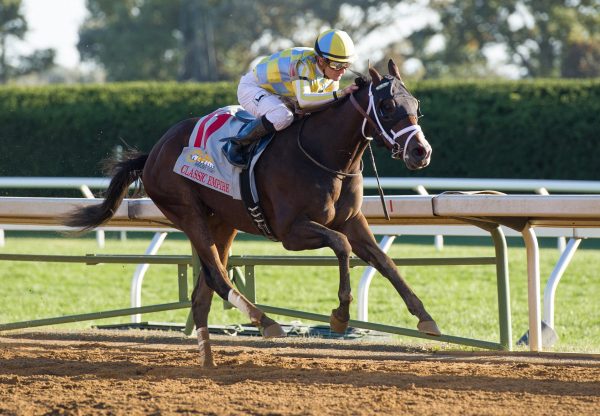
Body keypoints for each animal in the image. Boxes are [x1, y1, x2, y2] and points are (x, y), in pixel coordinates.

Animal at [67, 59, 440, 368]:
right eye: (388, 106)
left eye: (416, 105)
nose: (421, 152)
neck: (323, 156)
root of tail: (153, 153)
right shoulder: (291, 232)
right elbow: (341, 246)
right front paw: (339, 316)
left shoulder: (351, 221)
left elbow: (384, 261)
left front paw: (425, 318)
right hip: (188, 211)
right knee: (218, 278)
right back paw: (267, 323)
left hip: (223, 222)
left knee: (203, 292)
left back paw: (208, 361)